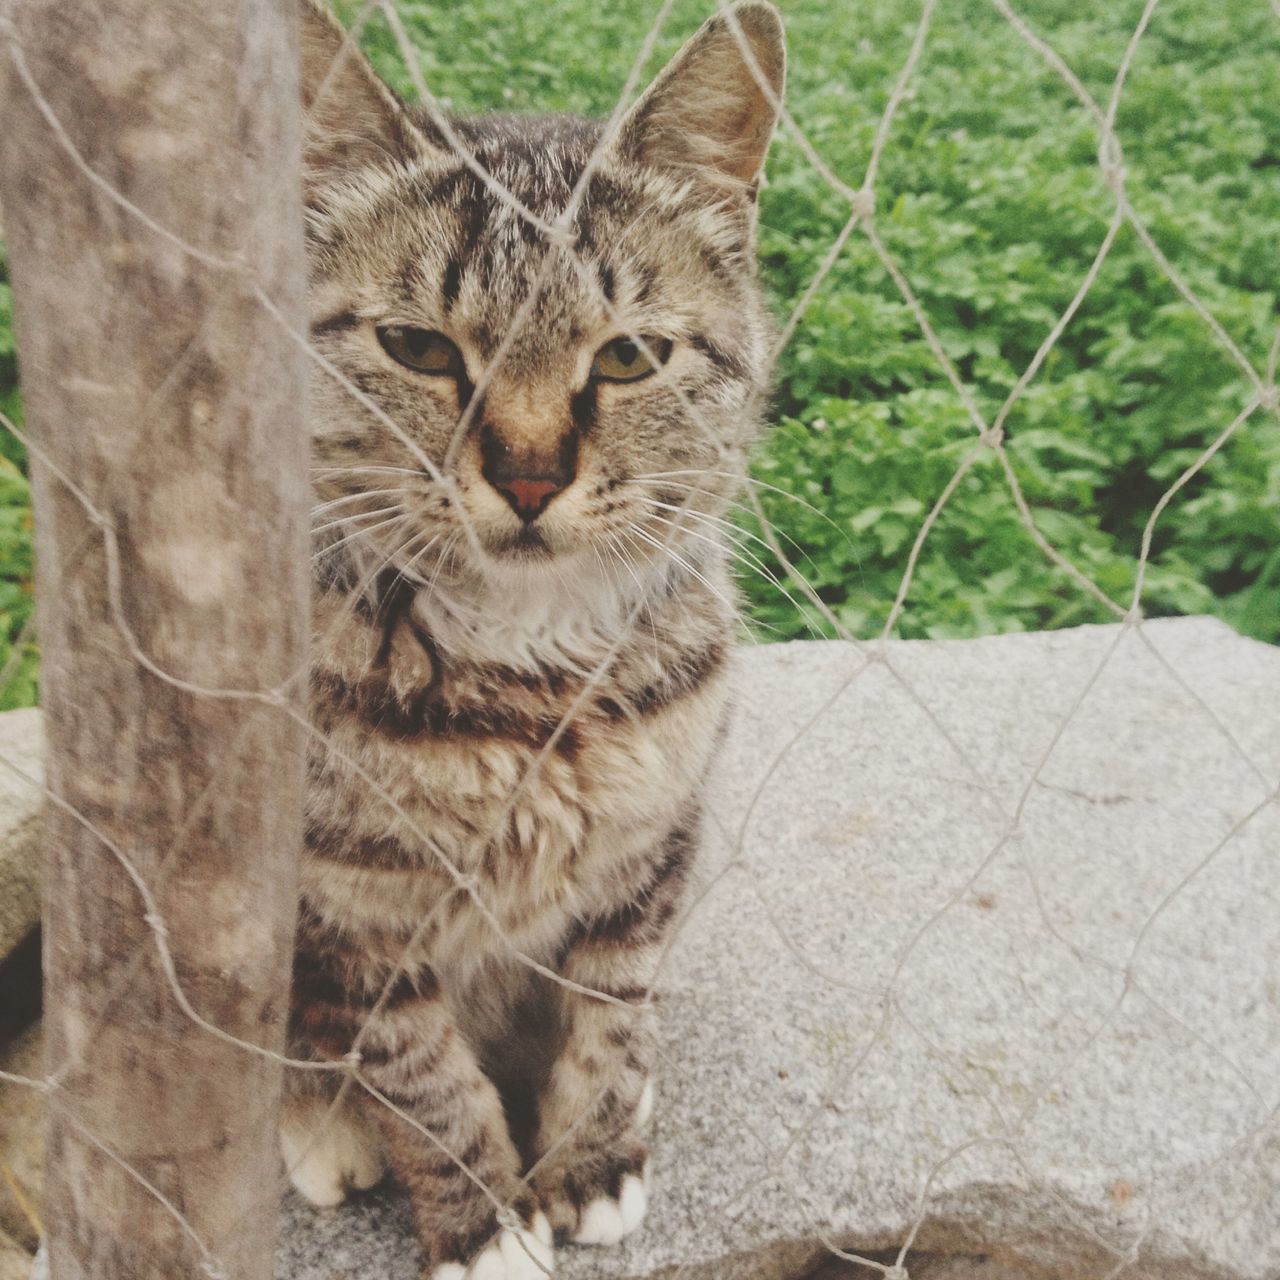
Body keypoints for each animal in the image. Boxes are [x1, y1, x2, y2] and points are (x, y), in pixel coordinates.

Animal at [286, 5, 783, 1274]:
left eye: (628, 355)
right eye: (417, 347)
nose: (523, 476)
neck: (528, 669)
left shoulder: (649, 852)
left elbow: (612, 1019)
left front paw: (594, 1158)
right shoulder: (350, 915)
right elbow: (420, 1079)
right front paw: (481, 1221)